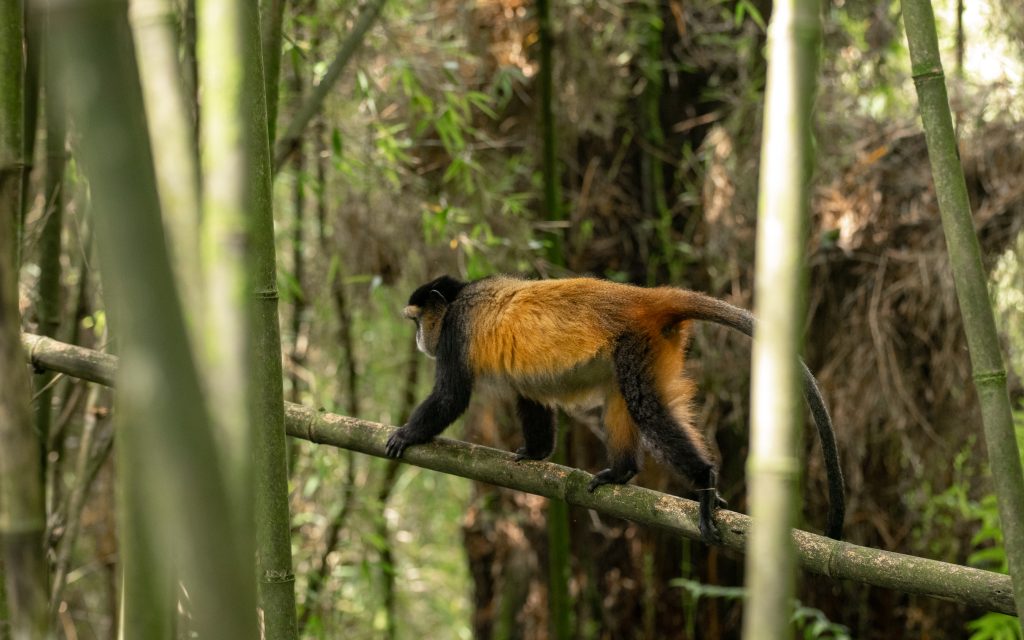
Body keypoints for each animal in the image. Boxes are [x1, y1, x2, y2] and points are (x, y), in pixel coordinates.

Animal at [384, 275, 844, 544]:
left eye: (417, 322)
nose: (417, 341)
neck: (461, 295)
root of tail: (641, 297)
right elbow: (530, 396)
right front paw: (534, 452)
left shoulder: (455, 331)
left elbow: (451, 396)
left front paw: (406, 434)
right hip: (652, 344)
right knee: (620, 396)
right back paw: (623, 472)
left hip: (638, 339)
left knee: (643, 406)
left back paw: (703, 481)